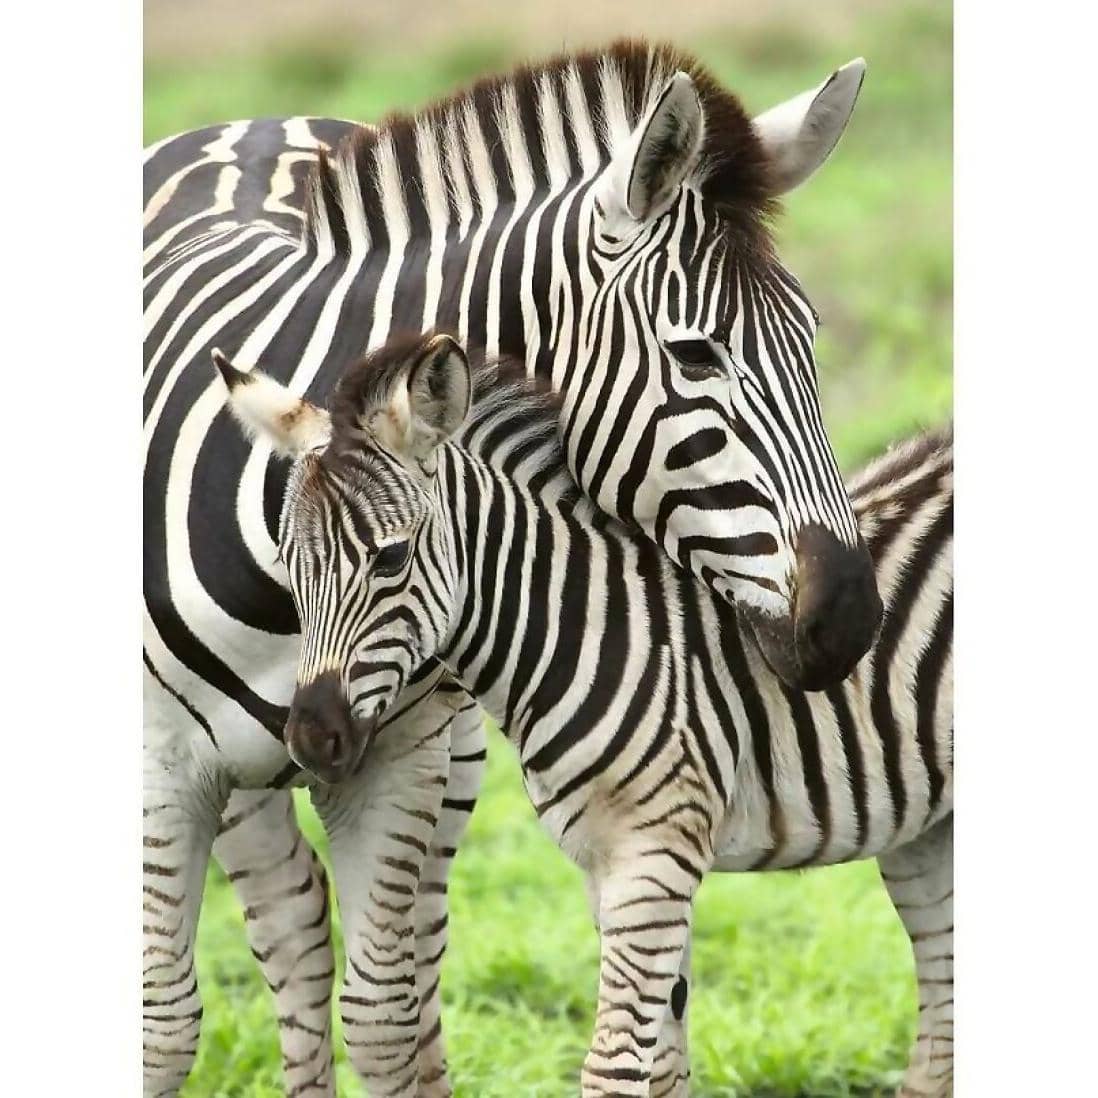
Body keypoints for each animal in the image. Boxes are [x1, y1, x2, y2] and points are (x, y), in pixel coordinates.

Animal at [144, 42, 881, 1095]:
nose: (851, 618)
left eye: (814, 340)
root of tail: (252, 121)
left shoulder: (399, 757)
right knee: (291, 925)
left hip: (443, 753)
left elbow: (385, 1018)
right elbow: (163, 1029)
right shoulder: (161, 765)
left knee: (365, 951)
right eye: (697, 356)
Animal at [218, 330, 953, 1098]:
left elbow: (613, 1066)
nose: (312, 738)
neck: (590, 631)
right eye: (289, 564)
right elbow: (662, 1066)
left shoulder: (654, 858)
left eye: (390, 559)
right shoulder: (610, 866)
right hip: (929, 832)